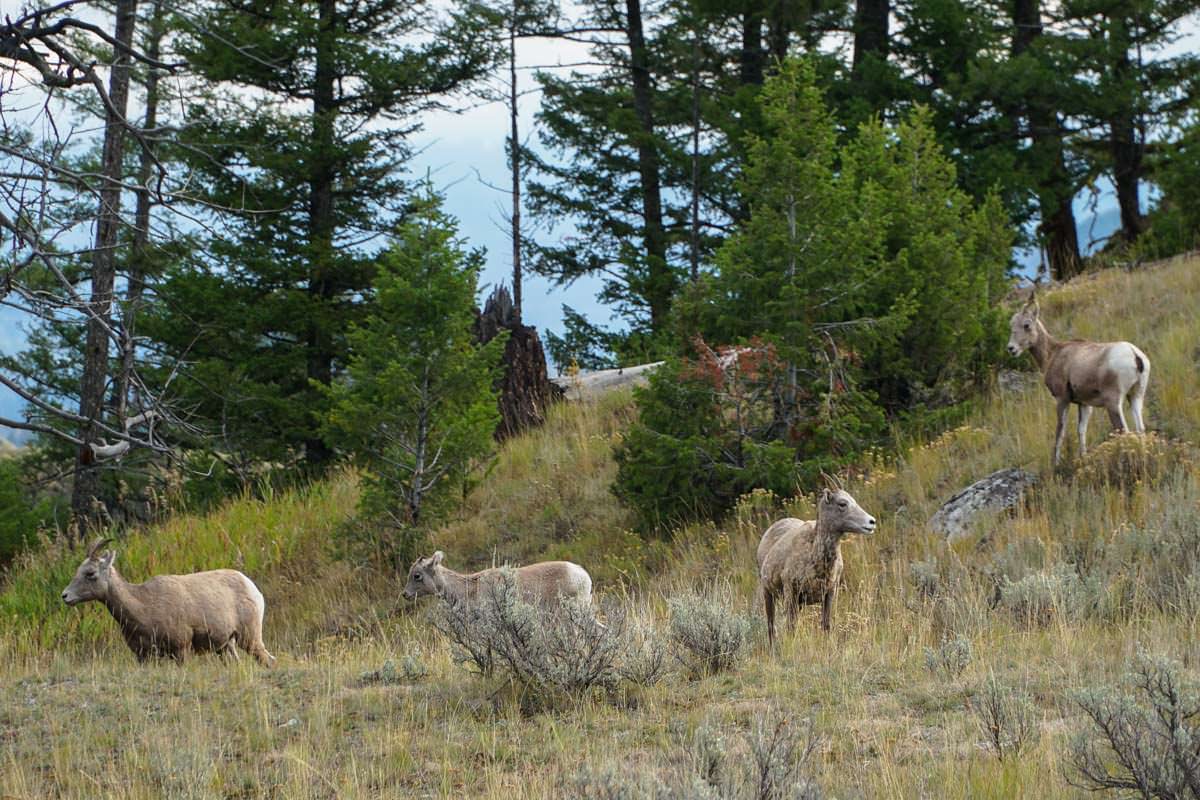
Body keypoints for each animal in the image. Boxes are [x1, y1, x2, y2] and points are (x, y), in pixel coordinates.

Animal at [62, 537, 276, 671]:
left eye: (90, 573)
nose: (65, 596)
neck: (144, 606)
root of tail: (252, 587)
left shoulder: (181, 650)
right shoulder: (143, 657)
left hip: (249, 638)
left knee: (268, 660)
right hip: (225, 647)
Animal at [753, 484, 878, 647]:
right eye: (842, 504)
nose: (872, 522)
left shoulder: (829, 593)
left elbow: (826, 625)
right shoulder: (790, 592)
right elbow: (790, 628)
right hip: (768, 592)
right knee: (771, 624)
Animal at [1003, 292, 1152, 465]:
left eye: (1026, 325)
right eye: (1011, 325)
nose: (1011, 348)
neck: (1053, 353)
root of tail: (1134, 355)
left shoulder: (1062, 399)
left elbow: (1060, 431)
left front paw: (1056, 464)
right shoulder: (1084, 404)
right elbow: (1081, 430)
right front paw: (1083, 457)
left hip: (1113, 403)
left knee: (1124, 431)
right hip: (1136, 396)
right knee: (1140, 429)